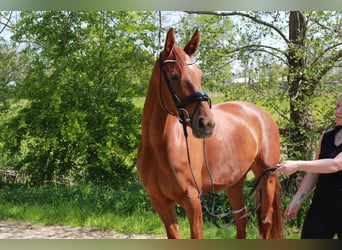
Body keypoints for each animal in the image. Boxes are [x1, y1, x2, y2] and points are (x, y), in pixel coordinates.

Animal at [136, 28, 284, 239]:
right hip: (236, 182)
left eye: (199, 75)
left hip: (267, 176)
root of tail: (262, 114)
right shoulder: (160, 202)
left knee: (266, 221)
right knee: (242, 218)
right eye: (173, 76)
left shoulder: (192, 201)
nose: (207, 123)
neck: (159, 147)